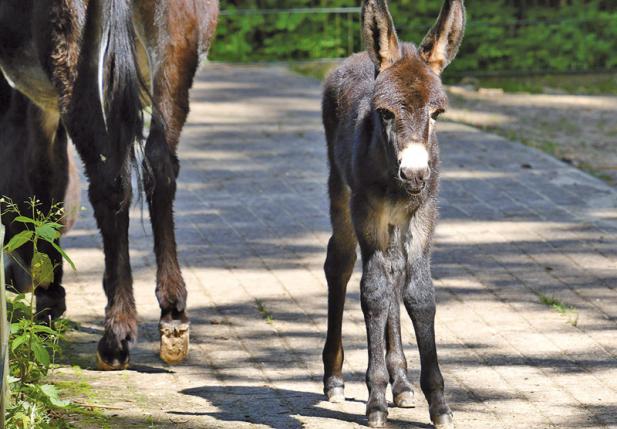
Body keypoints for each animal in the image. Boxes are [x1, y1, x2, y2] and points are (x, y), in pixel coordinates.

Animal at [320, 0, 464, 428]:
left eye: (436, 114)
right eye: (384, 113)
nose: (414, 174)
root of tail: (357, 55)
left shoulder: (423, 214)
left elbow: (418, 293)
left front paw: (438, 402)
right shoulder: (367, 212)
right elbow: (373, 293)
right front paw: (375, 401)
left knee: (394, 270)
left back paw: (401, 382)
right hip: (341, 194)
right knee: (341, 262)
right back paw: (335, 379)